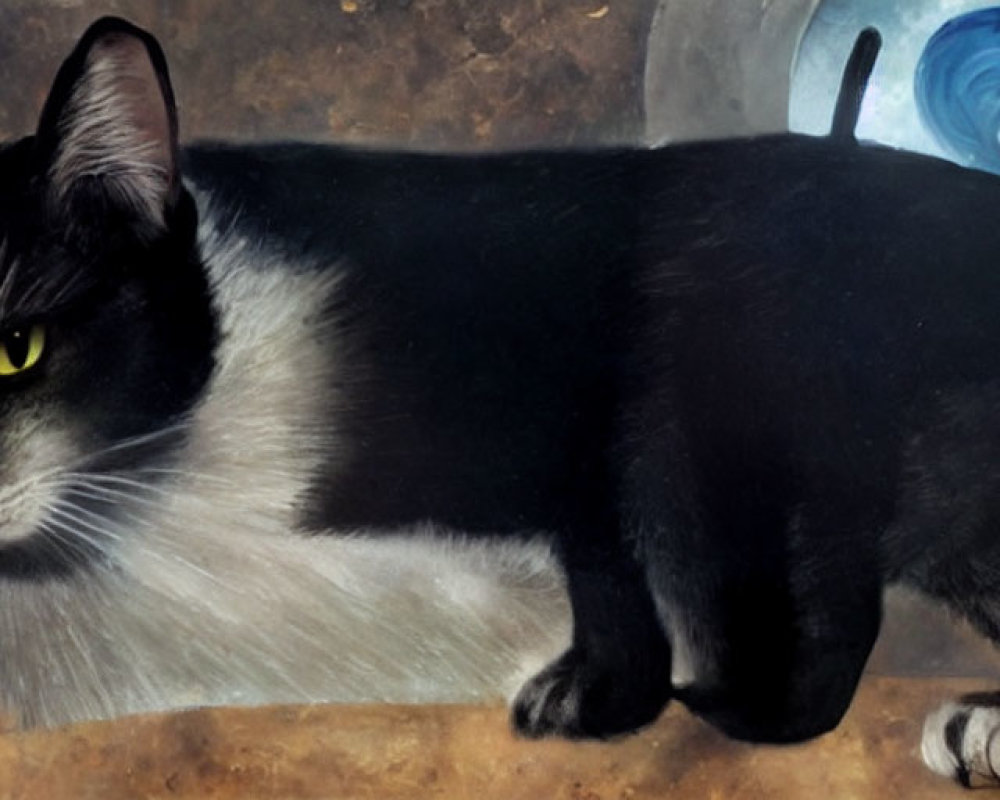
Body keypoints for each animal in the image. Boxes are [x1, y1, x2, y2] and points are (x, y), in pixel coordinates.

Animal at [5, 12, 1000, 784]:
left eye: (18, 350)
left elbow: (777, 614)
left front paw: (726, 712)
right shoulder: (594, 498)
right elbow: (613, 595)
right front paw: (597, 704)